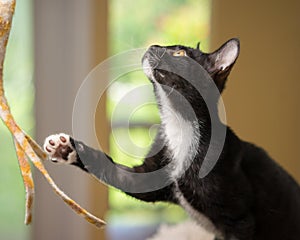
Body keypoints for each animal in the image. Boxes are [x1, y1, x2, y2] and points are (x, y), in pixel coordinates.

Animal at [43, 38, 300, 239]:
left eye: (180, 53)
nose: (154, 45)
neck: (179, 124)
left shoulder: (240, 220)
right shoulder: (145, 178)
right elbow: (108, 168)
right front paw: (65, 149)